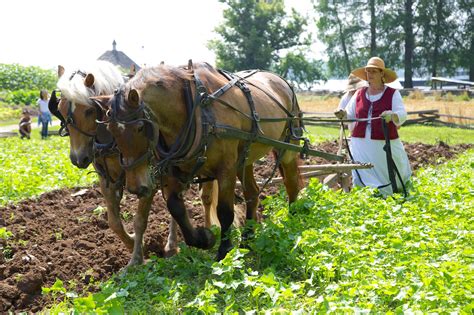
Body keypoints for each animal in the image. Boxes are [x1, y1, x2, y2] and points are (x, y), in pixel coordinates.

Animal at [95, 60, 304, 260]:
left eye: (140, 127)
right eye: (111, 130)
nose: (135, 188)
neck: (196, 110)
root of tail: (283, 81)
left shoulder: (226, 167)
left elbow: (224, 211)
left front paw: (224, 251)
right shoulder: (172, 169)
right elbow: (175, 207)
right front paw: (204, 238)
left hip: (287, 147)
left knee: (291, 184)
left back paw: (293, 221)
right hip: (245, 158)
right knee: (252, 192)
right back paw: (247, 239)